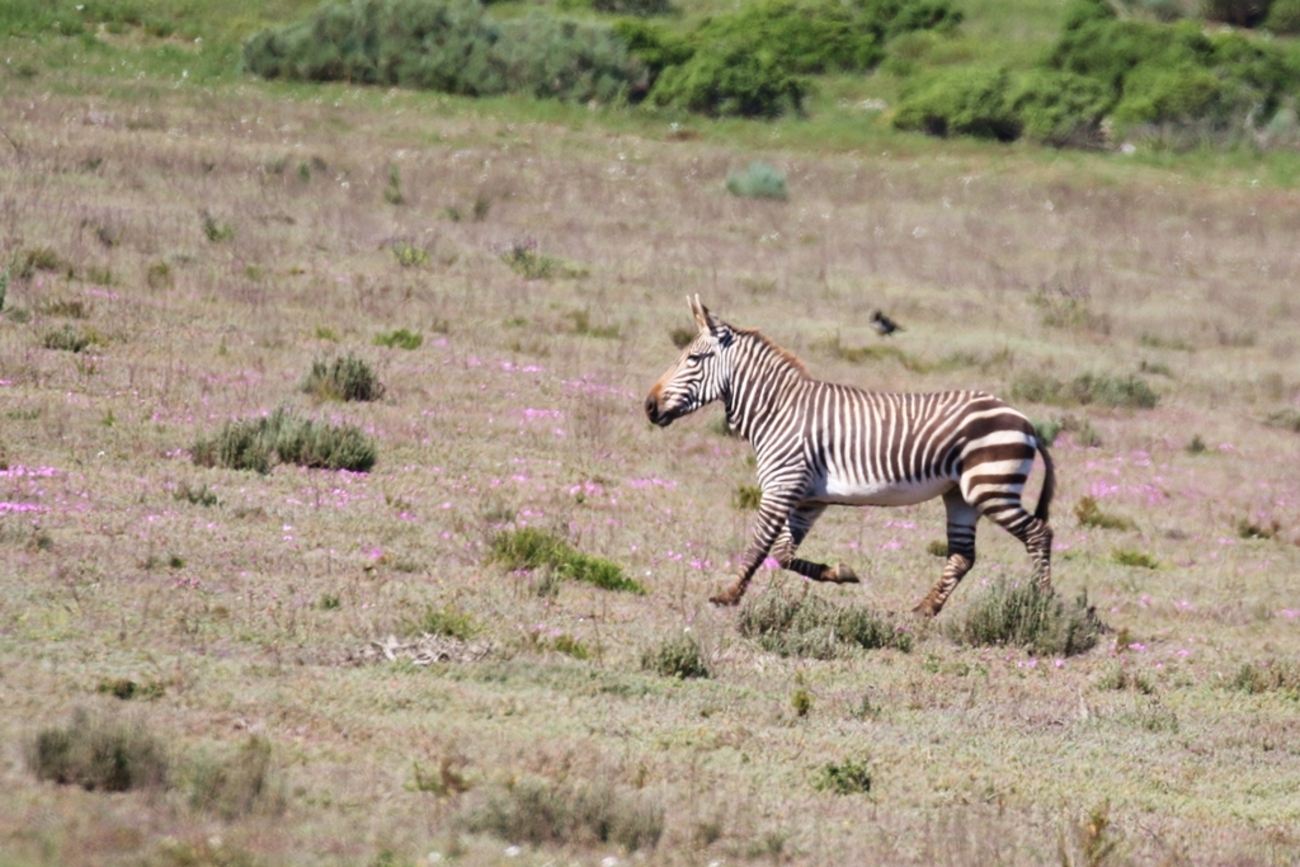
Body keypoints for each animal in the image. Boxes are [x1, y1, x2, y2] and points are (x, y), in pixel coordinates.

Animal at [644, 297, 1056, 615]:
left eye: (694, 358)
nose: (649, 406)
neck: (778, 411)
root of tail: (1026, 421)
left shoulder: (781, 488)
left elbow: (759, 546)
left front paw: (728, 595)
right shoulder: (808, 499)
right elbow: (784, 553)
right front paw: (841, 572)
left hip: (991, 487)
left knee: (1039, 533)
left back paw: (1041, 605)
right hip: (961, 495)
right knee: (962, 555)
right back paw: (925, 609)